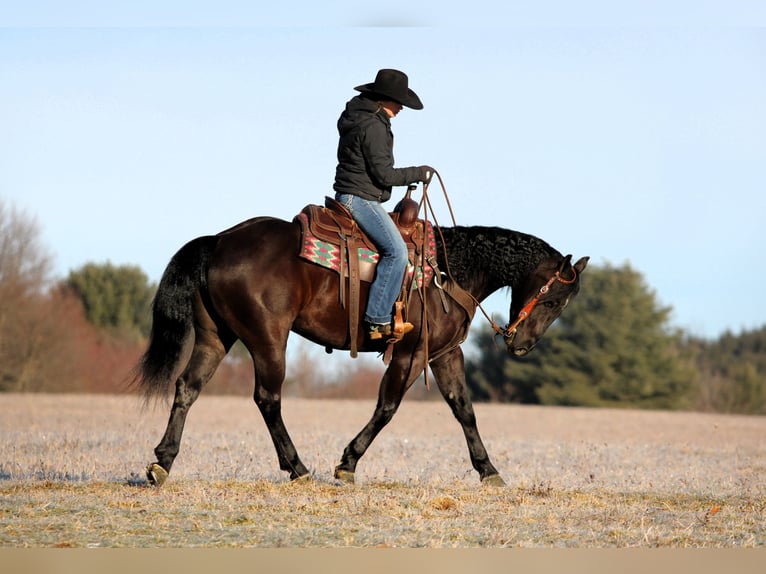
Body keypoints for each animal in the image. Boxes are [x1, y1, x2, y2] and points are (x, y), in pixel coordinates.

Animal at [133, 203, 588, 487]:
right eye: (553, 300)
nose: (522, 346)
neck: (449, 268)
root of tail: (219, 240)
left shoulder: (444, 354)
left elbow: (465, 410)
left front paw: (488, 470)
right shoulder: (410, 354)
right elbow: (387, 407)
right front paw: (347, 463)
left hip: (216, 337)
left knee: (187, 387)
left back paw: (162, 462)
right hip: (268, 339)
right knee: (268, 398)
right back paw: (297, 467)